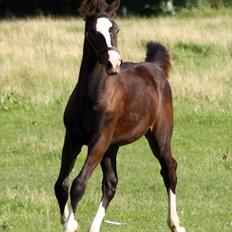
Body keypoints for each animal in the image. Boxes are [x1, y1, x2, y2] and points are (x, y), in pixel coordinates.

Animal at [54, 0, 185, 232]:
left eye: (116, 29)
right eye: (92, 31)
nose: (113, 63)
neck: (91, 94)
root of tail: (154, 67)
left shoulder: (99, 140)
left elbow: (79, 184)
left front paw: (70, 224)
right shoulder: (72, 138)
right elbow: (61, 184)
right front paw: (71, 221)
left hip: (159, 137)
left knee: (169, 168)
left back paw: (175, 223)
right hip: (112, 147)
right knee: (110, 183)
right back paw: (94, 227)